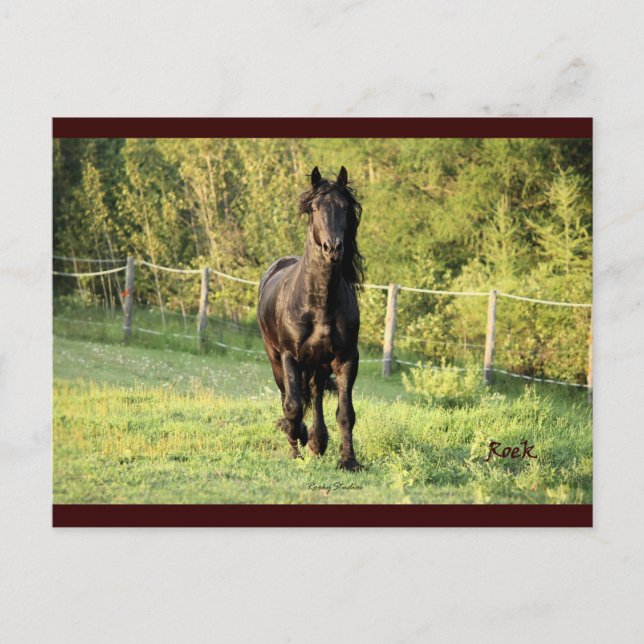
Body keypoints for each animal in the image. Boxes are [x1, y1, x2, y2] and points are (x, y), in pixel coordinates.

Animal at [257, 166, 364, 471]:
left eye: (344, 208)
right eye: (315, 208)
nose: (333, 248)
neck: (319, 302)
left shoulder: (346, 358)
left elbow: (345, 413)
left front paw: (349, 461)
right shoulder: (290, 356)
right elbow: (293, 406)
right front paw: (297, 438)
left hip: (319, 362)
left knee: (315, 393)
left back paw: (318, 441)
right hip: (275, 357)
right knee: (287, 395)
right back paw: (298, 443)